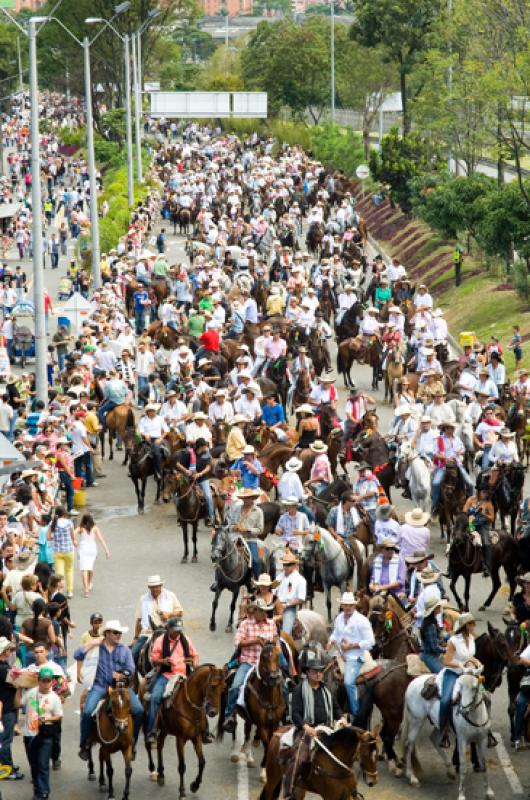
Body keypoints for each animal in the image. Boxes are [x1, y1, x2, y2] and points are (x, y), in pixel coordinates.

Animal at [143, 664, 226, 796]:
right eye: (213, 686)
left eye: (223, 688)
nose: (213, 712)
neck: (189, 707)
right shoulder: (180, 739)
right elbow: (182, 767)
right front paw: (182, 791)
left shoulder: (196, 737)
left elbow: (202, 762)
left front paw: (195, 785)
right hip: (146, 723)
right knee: (148, 744)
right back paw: (152, 770)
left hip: (165, 729)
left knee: (160, 746)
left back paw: (161, 774)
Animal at [402, 668, 492, 800]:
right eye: (459, 688)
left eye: (475, 688)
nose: (463, 710)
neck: (474, 716)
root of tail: (412, 682)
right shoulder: (462, 740)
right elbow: (463, 767)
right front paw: (461, 795)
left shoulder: (482, 740)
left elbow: (484, 764)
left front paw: (489, 792)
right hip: (416, 721)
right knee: (409, 745)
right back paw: (412, 777)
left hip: (440, 724)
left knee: (433, 739)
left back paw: (450, 772)